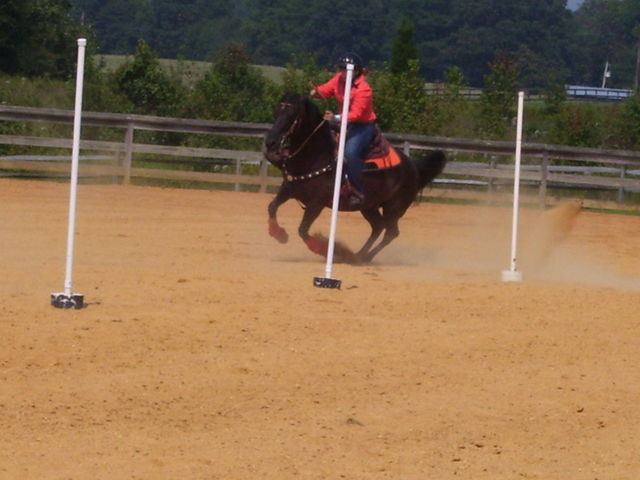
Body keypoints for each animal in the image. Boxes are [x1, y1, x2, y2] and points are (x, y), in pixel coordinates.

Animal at [262, 92, 444, 264]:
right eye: (277, 112)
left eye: (292, 115)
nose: (270, 142)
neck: (318, 156)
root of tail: (413, 167)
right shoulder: (288, 189)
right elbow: (272, 207)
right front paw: (278, 234)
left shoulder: (316, 203)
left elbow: (303, 230)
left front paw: (328, 250)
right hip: (369, 206)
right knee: (378, 227)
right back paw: (358, 255)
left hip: (394, 208)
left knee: (391, 232)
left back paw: (363, 257)